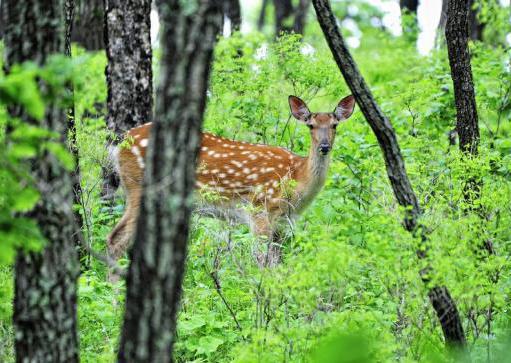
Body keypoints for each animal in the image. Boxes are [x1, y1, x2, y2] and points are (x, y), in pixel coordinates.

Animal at [108, 94, 356, 270]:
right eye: (310, 125)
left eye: (334, 125)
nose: (324, 146)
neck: (296, 179)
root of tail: (120, 144)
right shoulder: (259, 207)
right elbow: (262, 259)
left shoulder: (282, 221)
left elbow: (277, 261)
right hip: (139, 187)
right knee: (115, 239)